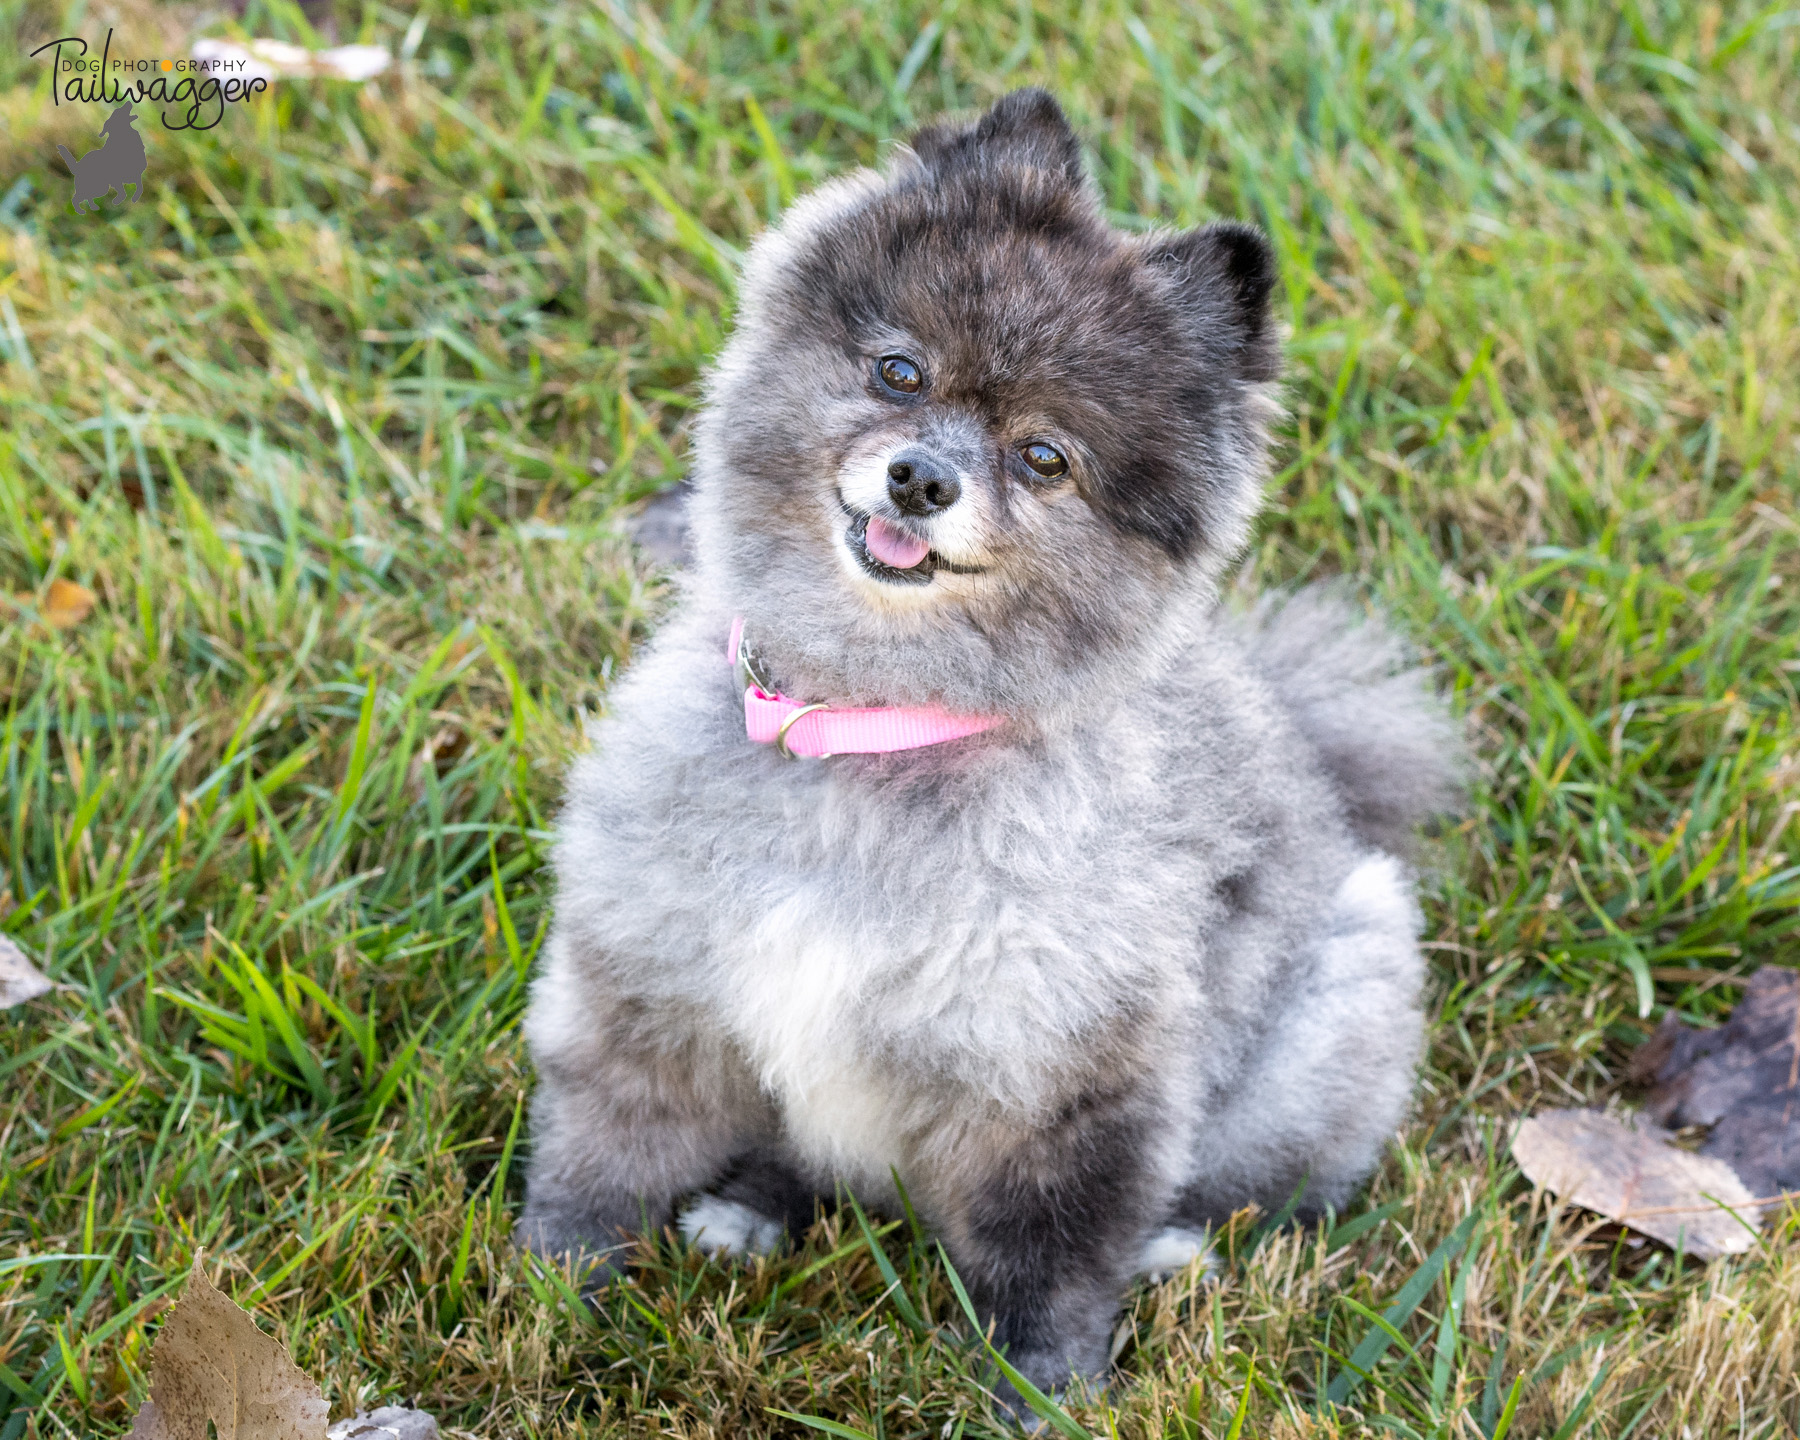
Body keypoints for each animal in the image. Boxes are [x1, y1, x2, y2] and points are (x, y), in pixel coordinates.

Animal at [522, 87, 1461, 1404]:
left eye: (1045, 458)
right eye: (898, 371)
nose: (921, 477)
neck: (867, 734)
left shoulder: (1067, 1076)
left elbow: (1056, 1246)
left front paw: (1046, 1394)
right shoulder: (652, 986)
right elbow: (603, 1155)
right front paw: (547, 1291)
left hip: (1339, 992)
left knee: (1256, 1186)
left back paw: (1177, 1247)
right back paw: (751, 1209)